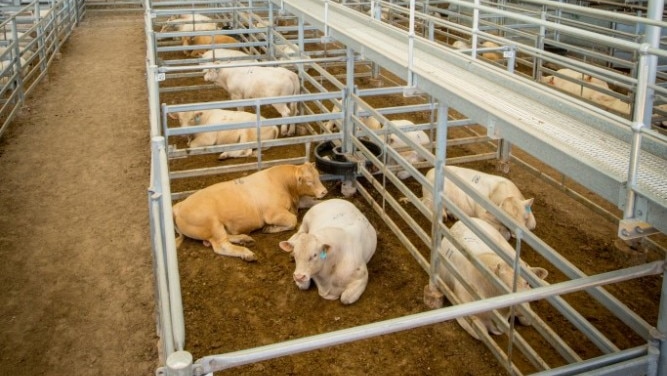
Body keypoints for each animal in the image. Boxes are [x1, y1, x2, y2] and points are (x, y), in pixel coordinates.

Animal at [172, 162, 328, 262]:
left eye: (318, 175)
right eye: (309, 181)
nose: (324, 191)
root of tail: (179, 206)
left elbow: (311, 203)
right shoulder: (273, 214)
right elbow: (293, 220)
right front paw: (270, 228)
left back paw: (244, 238)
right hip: (213, 225)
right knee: (221, 246)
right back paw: (247, 254)